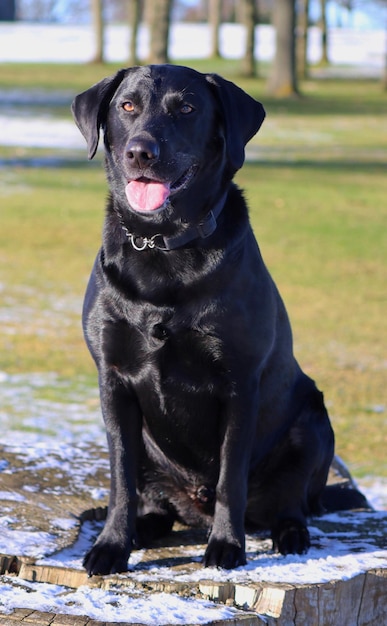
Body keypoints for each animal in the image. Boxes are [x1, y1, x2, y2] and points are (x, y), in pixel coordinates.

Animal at [72, 64, 364, 576]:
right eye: (127, 106)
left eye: (187, 108)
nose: (141, 151)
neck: (165, 245)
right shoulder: (113, 380)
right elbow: (121, 480)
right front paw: (112, 545)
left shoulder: (239, 383)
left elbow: (232, 478)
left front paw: (227, 546)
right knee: (154, 501)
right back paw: (146, 527)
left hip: (312, 420)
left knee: (291, 502)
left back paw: (290, 534)